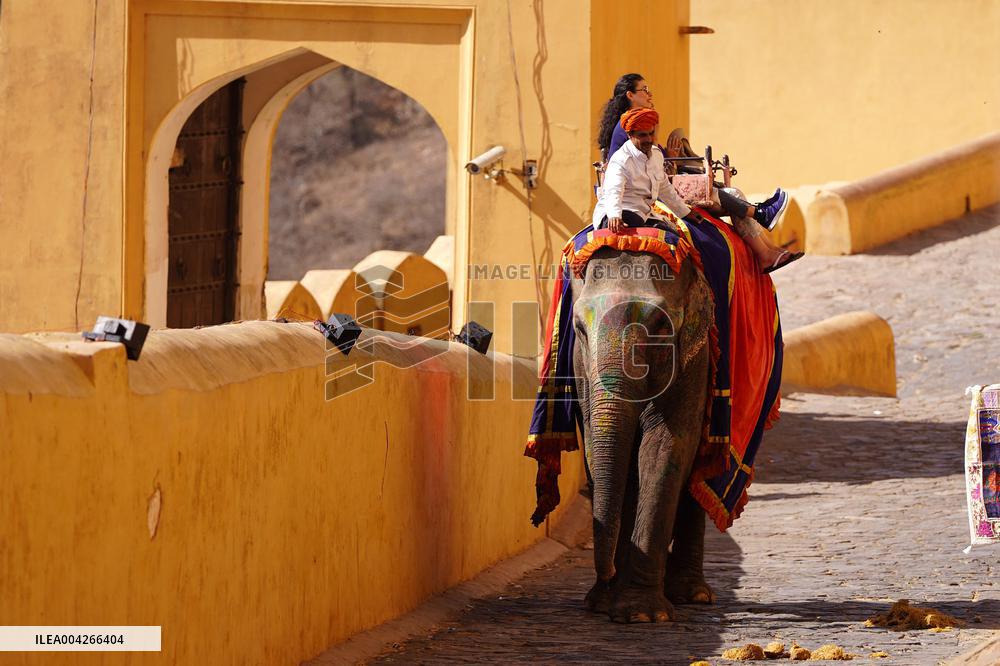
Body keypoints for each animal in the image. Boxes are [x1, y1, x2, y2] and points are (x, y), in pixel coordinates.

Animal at [571, 244, 716, 623]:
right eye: (579, 327)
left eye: (659, 325)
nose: (606, 575)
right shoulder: (580, 366)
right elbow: (596, 444)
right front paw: (605, 603)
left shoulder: (696, 357)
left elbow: (664, 447)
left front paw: (641, 615)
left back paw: (691, 594)